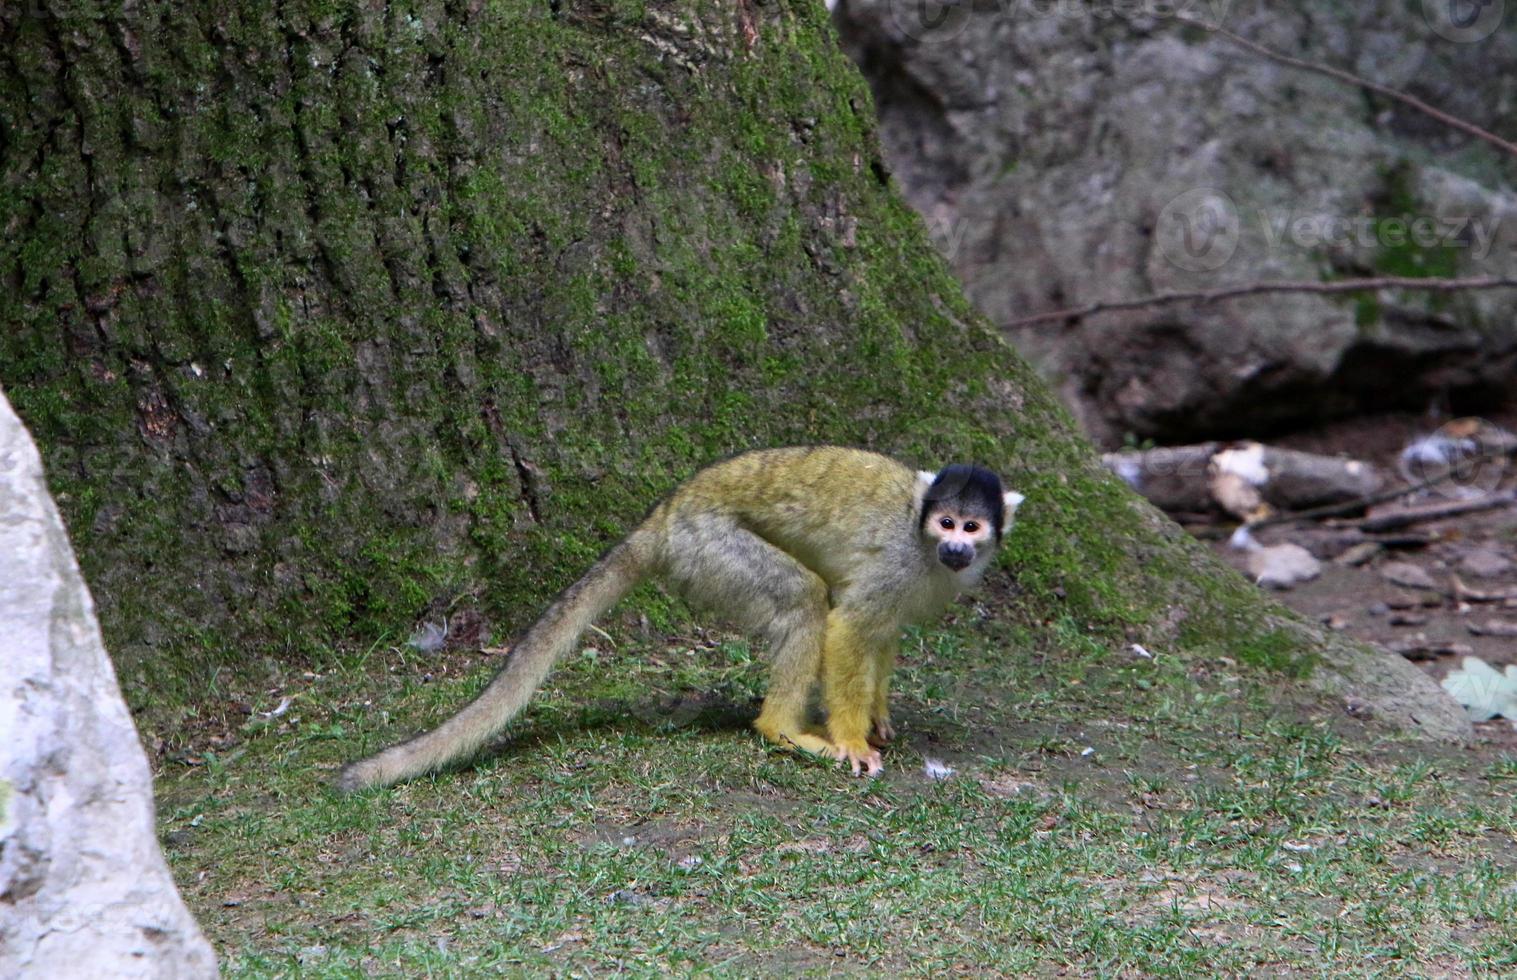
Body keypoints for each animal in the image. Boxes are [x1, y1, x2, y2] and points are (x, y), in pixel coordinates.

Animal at [339, 449, 1025, 794]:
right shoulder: (900, 560)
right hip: (710, 548)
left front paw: (878, 717)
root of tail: (664, 518)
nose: (956, 546)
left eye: (972, 527)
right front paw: (855, 740)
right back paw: (781, 729)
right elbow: (853, 627)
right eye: (946, 523)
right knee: (805, 601)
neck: (921, 536)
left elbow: (880, 634)